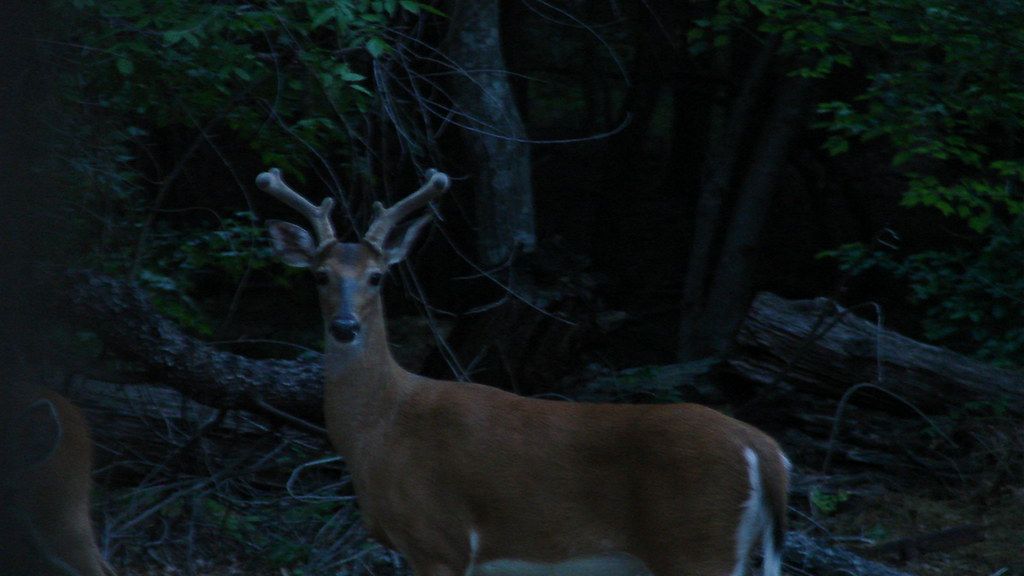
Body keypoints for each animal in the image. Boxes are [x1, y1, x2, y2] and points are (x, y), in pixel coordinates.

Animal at [258, 167, 790, 576]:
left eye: (376, 276)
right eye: (320, 275)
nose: (345, 326)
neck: (379, 432)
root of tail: (765, 451)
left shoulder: (439, 540)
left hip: (697, 544)